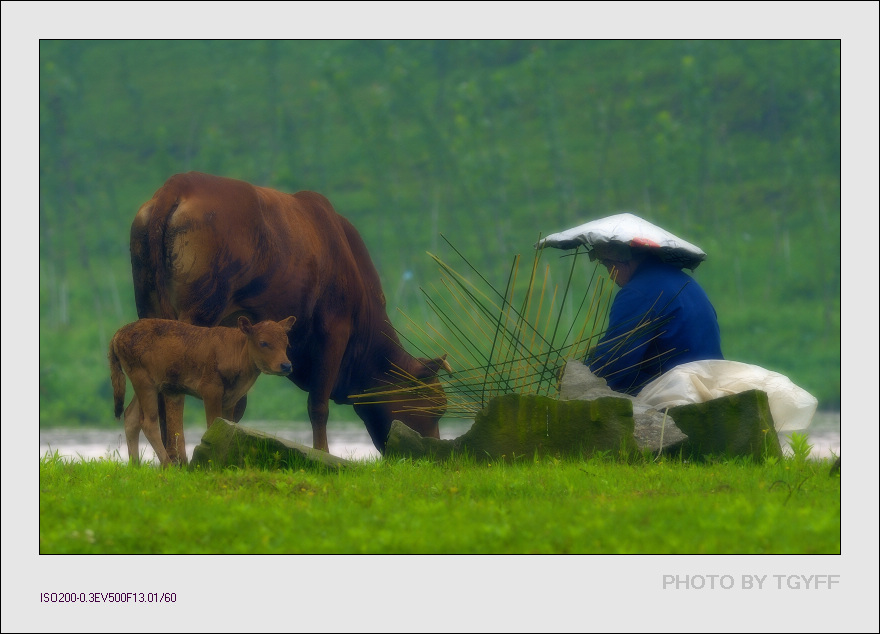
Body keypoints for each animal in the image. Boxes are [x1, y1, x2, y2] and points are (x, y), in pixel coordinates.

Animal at [108, 314, 296, 464]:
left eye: (287, 343)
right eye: (263, 342)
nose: (286, 365)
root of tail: (118, 334)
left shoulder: (230, 400)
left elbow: (227, 426)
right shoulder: (211, 391)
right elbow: (211, 425)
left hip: (148, 385)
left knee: (130, 417)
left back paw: (135, 466)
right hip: (144, 382)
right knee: (148, 422)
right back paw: (168, 465)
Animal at [127, 170, 450, 462]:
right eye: (436, 408)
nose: (433, 453)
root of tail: (178, 183)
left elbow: (236, 406)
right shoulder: (334, 329)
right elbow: (318, 405)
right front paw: (323, 454)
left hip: (148, 307)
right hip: (200, 310)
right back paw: (178, 457)